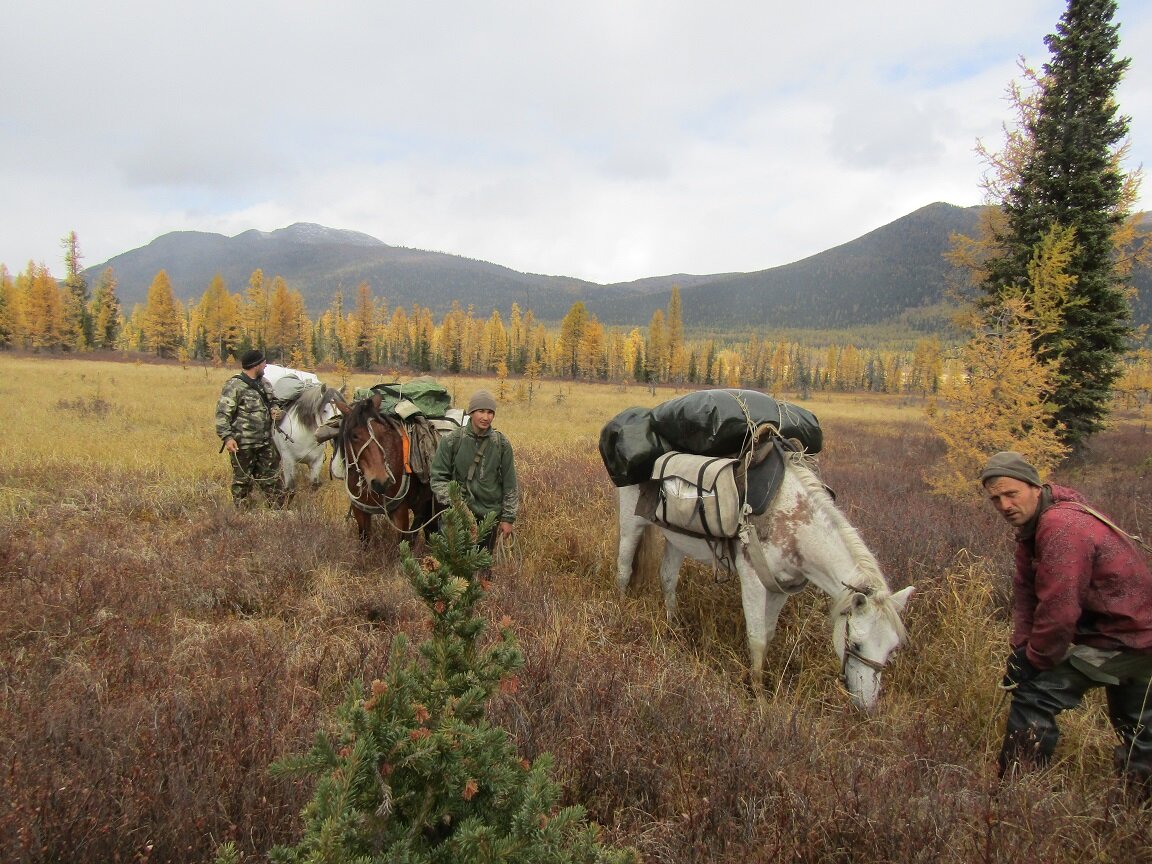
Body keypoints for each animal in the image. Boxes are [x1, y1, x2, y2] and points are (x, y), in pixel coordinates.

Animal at [336, 396, 442, 550]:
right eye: (354, 436)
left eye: (382, 432)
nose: (381, 481)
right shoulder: (360, 511)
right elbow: (365, 542)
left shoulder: (400, 512)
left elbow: (401, 545)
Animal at [617, 453, 912, 709]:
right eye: (856, 644)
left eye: (892, 648)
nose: (866, 705)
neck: (792, 522)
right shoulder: (753, 580)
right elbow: (757, 637)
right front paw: (756, 693)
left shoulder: (781, 587)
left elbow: (768, 635)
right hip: (632, 523)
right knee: (623, 569)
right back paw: (622, 614)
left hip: (677, 538)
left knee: (668, 578)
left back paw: (673, 627)